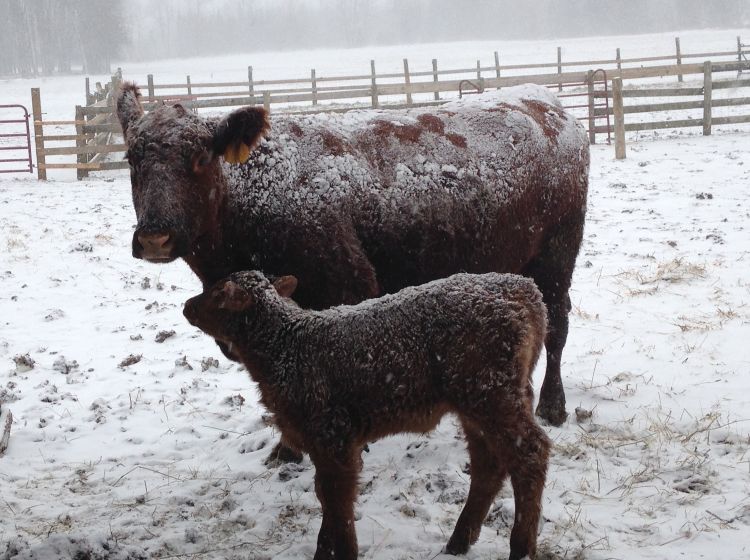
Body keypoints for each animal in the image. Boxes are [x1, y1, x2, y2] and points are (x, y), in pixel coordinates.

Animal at [114, 80, 592, 464]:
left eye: (199, 158)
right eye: (131, 158)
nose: (155, 237)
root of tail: (544, 100)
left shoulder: (349, 287)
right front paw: (286, 450)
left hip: (557, 254)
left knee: (557, 325)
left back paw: (553, 405)